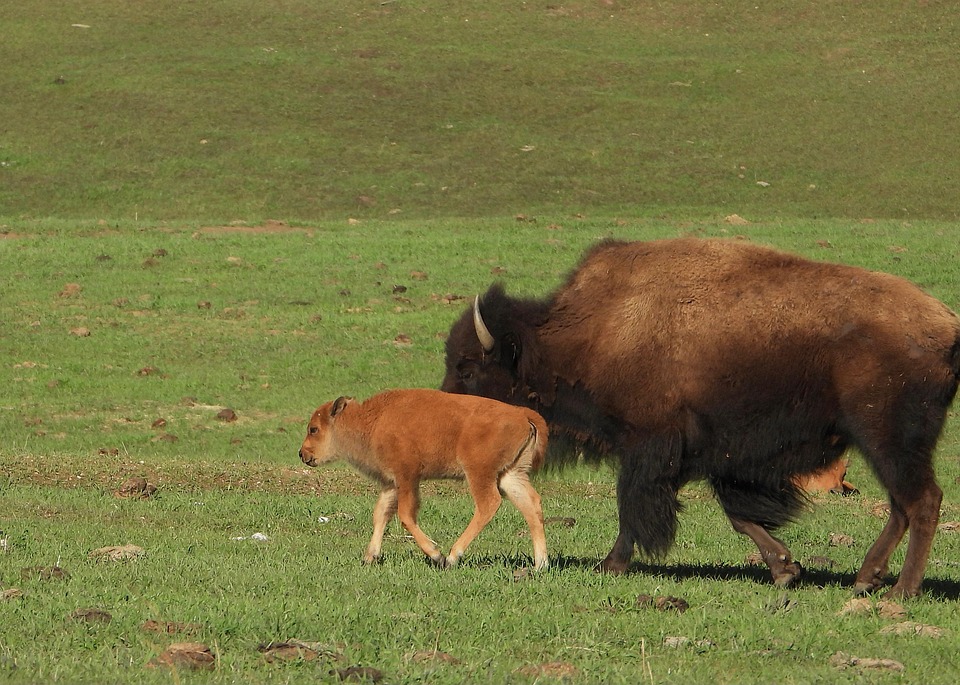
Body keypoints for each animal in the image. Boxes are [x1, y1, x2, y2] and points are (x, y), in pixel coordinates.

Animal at [298, 388, 549, 570]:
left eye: (314, 429)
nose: (303, 454)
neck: (373, 420)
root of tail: (522, 413)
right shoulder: (392, 483)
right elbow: (381, 514)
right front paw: (369, 557)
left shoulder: (408, 477)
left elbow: (405, 515)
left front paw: (436, 555)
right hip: (510, 474)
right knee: (531, 505)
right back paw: (540, 564)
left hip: (480, 473)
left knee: (489, 504)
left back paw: (453, 556)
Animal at [441, 237, 960, 598]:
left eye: (468, 367)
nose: (445, 410)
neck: (599, 328)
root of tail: (945, 326)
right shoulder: (710, 456)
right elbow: (739, 516)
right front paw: (785, 569)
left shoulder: (649, 448)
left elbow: (634, 509)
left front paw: (611, 565)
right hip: (886, 445)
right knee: (902, 506)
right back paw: (867, 579)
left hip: (888, 439)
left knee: (921, 501)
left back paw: (899, 590)